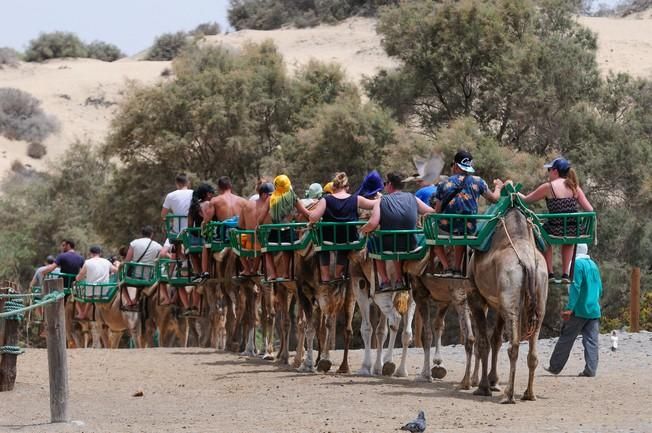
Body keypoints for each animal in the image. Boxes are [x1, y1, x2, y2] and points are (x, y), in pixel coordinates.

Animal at [468, 208, 552, 404]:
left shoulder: (475, 297)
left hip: (510, 298)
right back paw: (529, 394)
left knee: (513, 345)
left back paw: (508, 395)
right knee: (532, 352)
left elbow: (484, 342)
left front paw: (484, 387)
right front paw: (492, 381)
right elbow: (495, 340)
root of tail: (528, 263)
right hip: (539, 298)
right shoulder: (500, 305)